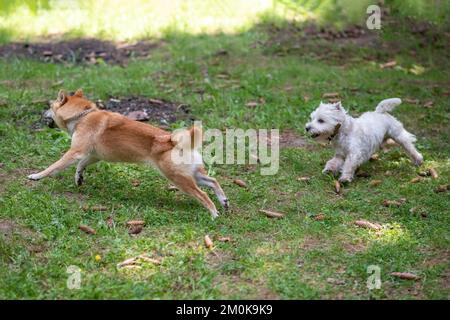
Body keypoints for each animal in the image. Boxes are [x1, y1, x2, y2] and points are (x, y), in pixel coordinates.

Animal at [28, 90, 229, 220]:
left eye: (49, 106)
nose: (42, 113)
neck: (83, 116)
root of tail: (173, 141)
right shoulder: (94, 155)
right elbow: (81, 165)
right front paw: (79, 177)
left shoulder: (75, 152)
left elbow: (54, 166)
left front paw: (37, 176)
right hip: (192, 175)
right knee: (213, 181)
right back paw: (224, 201)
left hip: (179, 179)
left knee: (203, 194)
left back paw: (213, 213)